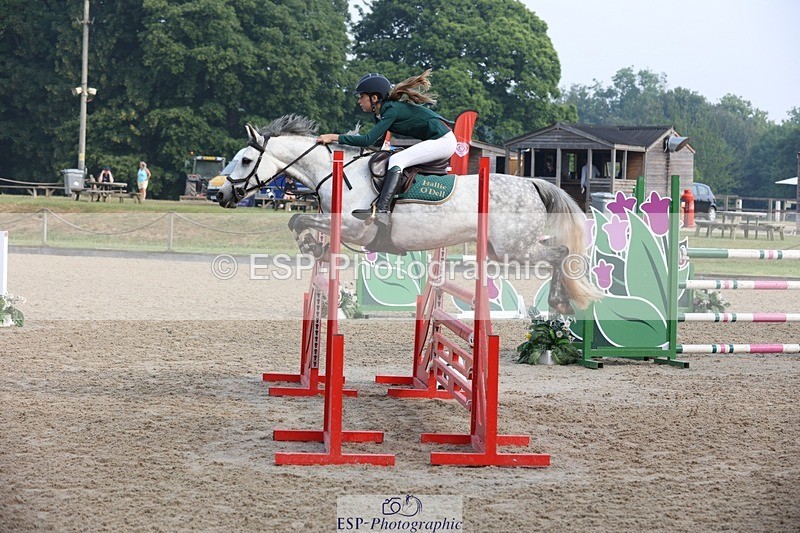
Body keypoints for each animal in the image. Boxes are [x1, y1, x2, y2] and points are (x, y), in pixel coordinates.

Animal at [216, 115, 599, 314]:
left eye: (246, 160)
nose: (220, 194)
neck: (336, 173)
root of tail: (532, 183)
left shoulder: (354, 227)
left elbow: (297, 219)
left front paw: (312, 246)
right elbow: (297, 221)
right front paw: (315, 247)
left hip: (513, 249)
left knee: (561, 253)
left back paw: (560, 303)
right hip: (498, 249)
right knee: (558, 254)